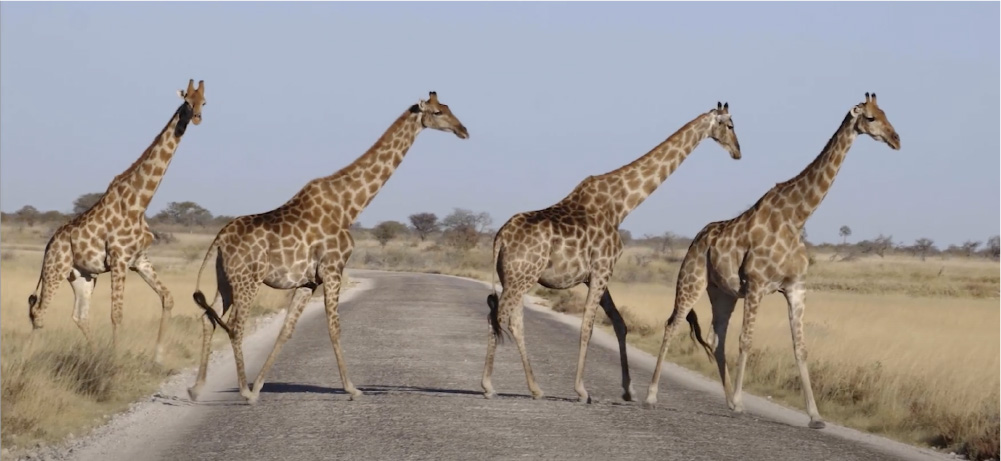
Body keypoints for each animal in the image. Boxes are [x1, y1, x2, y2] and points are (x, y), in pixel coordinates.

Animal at [26, 79, 205, 362]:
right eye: (187, 101)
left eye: (204, 102)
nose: (197, 118)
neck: (140, 203)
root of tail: (49, 244)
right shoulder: (119, 260)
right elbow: (117, 314)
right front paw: (116, 361)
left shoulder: (139, 260)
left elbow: (167, 298)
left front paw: (158, 356)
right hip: (55, 269)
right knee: (40, 313)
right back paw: (25, 360)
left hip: (83, 276)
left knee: (79, 315)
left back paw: (93, 355)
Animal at [188, 90, 468, 402]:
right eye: (438, 112)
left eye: (447, 107)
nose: (463, 130)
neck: (349, 206)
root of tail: (219, 238)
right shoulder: (333, 270)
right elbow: (335, 328)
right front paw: (352, 388)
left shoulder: (308, 281)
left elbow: (286, 330)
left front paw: (260, 384)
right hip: (247, 279)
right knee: (236, 326)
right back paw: (243, 392)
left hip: (225, 280)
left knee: (208, 317)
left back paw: (197, 388)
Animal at [484, 101, 744, 402]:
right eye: (730, 125)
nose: (738, 152)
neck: (620, 205)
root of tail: (500, 237)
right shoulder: (602, 269)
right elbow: (588, 326)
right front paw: (582, 390)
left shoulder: (596, 274)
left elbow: (620, 323)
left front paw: (628, 389)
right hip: (521, 278)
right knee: (499, 316)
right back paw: (488, 385)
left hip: (514, 278)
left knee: (514, 321)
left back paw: (535, 388)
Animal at [644, 92, 904, 428]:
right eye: (871, 118)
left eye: (886, 113)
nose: (896, 139)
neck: (796, 217)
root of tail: (696, 240)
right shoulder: (756, 284)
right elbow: (746, 341)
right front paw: (743, 402)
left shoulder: (796, 287)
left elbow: (800, 348)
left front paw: (815, 416)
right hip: (692, 280)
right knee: (672, 324)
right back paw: (652, 396)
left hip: (723, 293)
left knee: (716, 338)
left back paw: (728, 401)